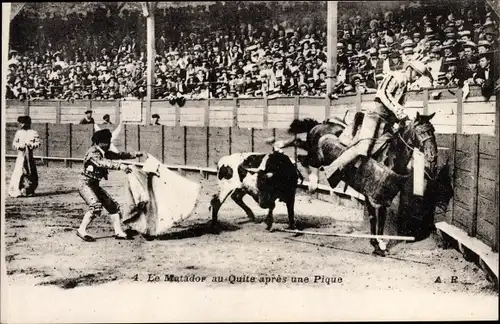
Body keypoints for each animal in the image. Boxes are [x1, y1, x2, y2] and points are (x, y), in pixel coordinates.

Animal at [274, 112, 438, 256]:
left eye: (433, 131)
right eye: (421, 131)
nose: (433, 156)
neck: (391, 156)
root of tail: (320, 124)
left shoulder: (382, 198)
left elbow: (381, 221)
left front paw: (381, 246)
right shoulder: (371, 197)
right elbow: (373, 219)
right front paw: (375, 245)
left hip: (313, 154)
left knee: (301, 150)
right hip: (315, 156)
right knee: (302, 155)